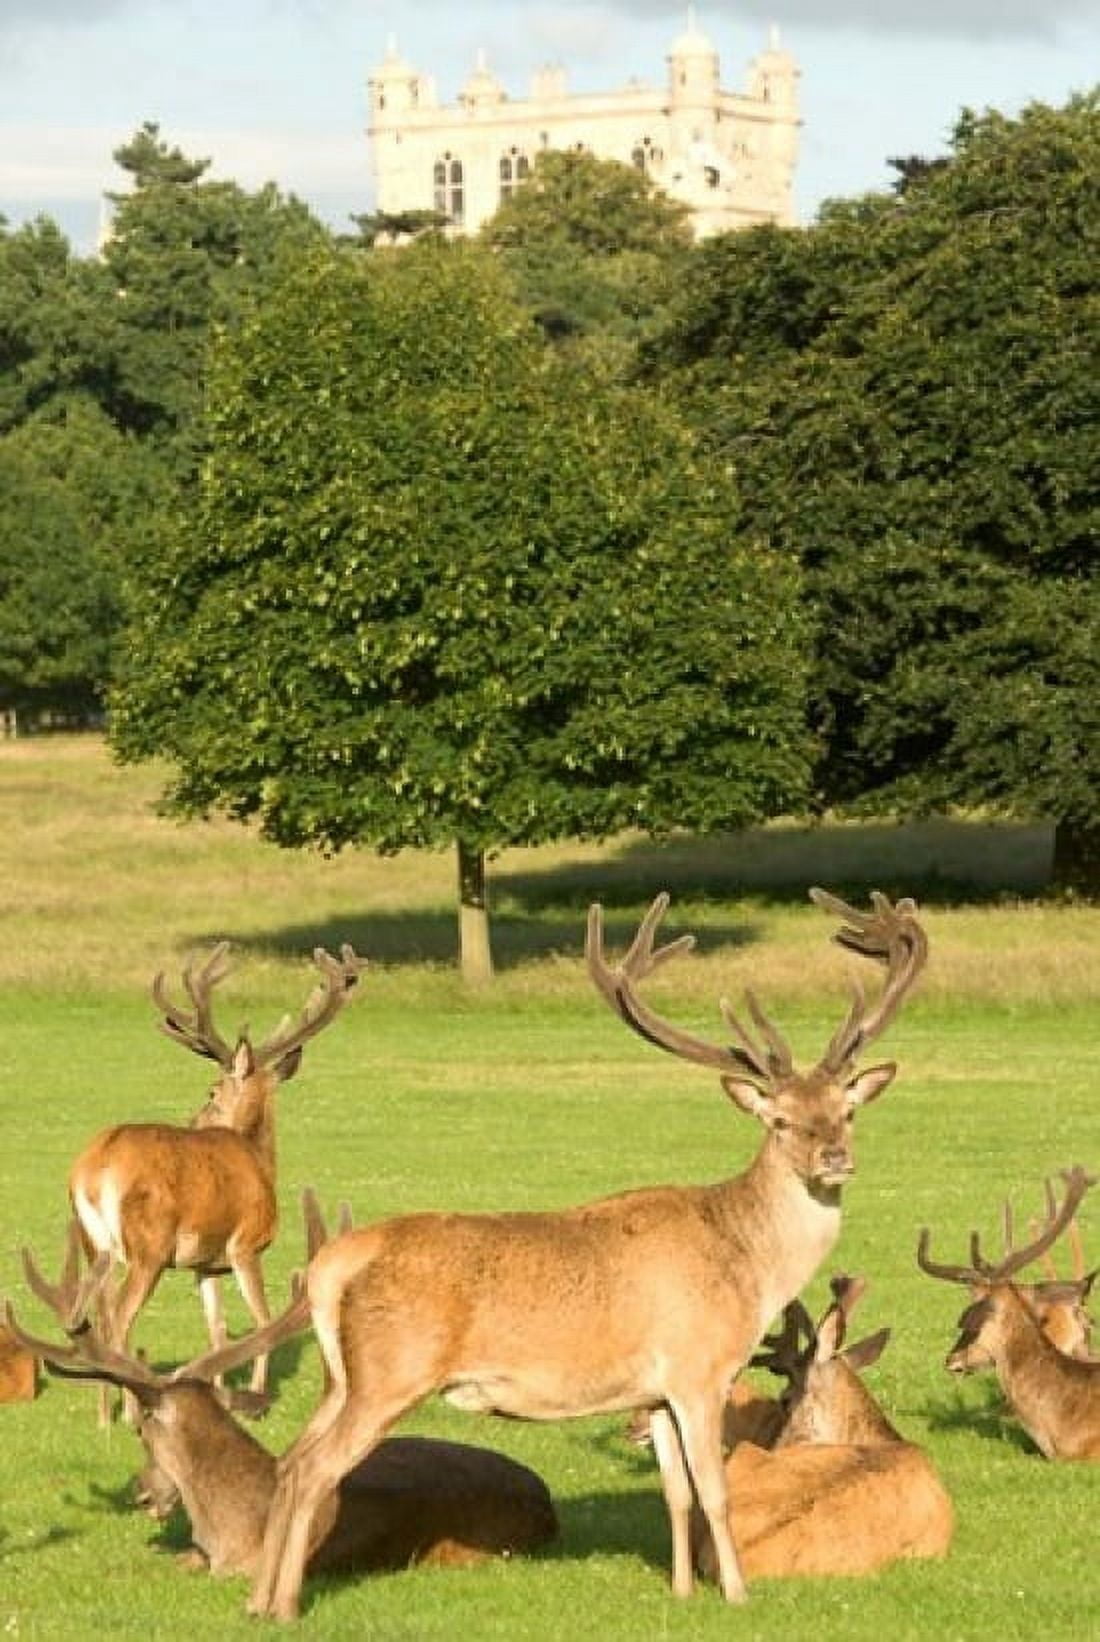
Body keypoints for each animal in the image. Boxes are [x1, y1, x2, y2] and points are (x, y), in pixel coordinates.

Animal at [68, 941, 364, 1423]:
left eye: (210, 1091)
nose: (194, 1118)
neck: (258, 1157)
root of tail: (97, 1167)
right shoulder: (247, 1244)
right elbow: (262, 1320)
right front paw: (257, 1399)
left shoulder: (205, 1263)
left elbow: (218, 1330)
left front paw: (218, 1394)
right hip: (148, 1247)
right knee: (121, 1319)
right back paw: (130, 1412)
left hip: (94, 1241)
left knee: (97, 1312)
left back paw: (103, 1417)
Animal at [242, 886, 927, 1620]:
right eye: (780, 1121)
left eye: (846, 1111)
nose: (834, 1157)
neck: (747, 1265)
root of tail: (330, 1265)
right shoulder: (698, 1368)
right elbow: (714, 1490)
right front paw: (737, 1594)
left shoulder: (654, 1391)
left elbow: (674, 1493)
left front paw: (682, 1589)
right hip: (392, 1370)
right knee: (317, 1467)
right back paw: (285, 1604)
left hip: (342, 1376)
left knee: (291, 1459)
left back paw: (255, 1600)